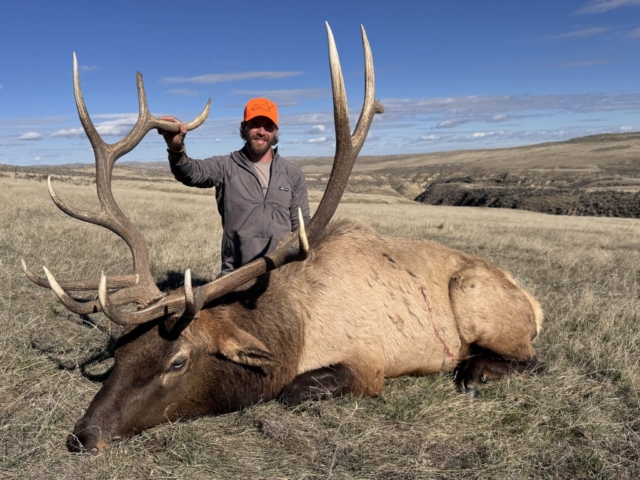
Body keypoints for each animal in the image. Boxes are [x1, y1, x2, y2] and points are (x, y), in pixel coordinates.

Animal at [22, 24, 543, 455]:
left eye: (178, 362)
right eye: (120, 350)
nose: (83, 436)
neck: (293, 328)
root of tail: (534, 302)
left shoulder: (369, 364)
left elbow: (294, 390)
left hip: (477, 297)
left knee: (535, 359)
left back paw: (472, 371)